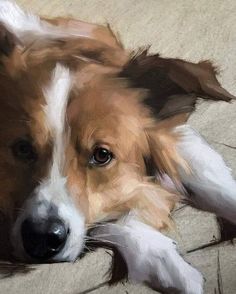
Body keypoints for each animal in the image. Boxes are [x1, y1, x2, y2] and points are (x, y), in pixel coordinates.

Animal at [0, 1, 236, 292]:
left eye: (102, 155)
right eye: (22, 148)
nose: (41, 238)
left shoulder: (177, 140)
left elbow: (215, 182)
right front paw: (165, 261)